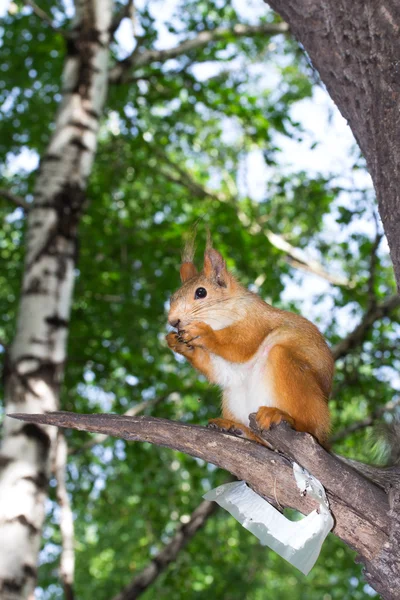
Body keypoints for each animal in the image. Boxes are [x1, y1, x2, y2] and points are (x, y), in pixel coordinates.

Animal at [166, 237, 334, 448]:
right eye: (172, 297)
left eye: (201, 292)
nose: (173, 321)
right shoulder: (229, 369)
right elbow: (217, 370)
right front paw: (177, 342)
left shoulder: (256, 323)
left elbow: (240, 347)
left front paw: (204, 333)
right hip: (233, 395)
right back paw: (235, 427)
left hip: (297, 384)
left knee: (308, 426)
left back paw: (280, 415)